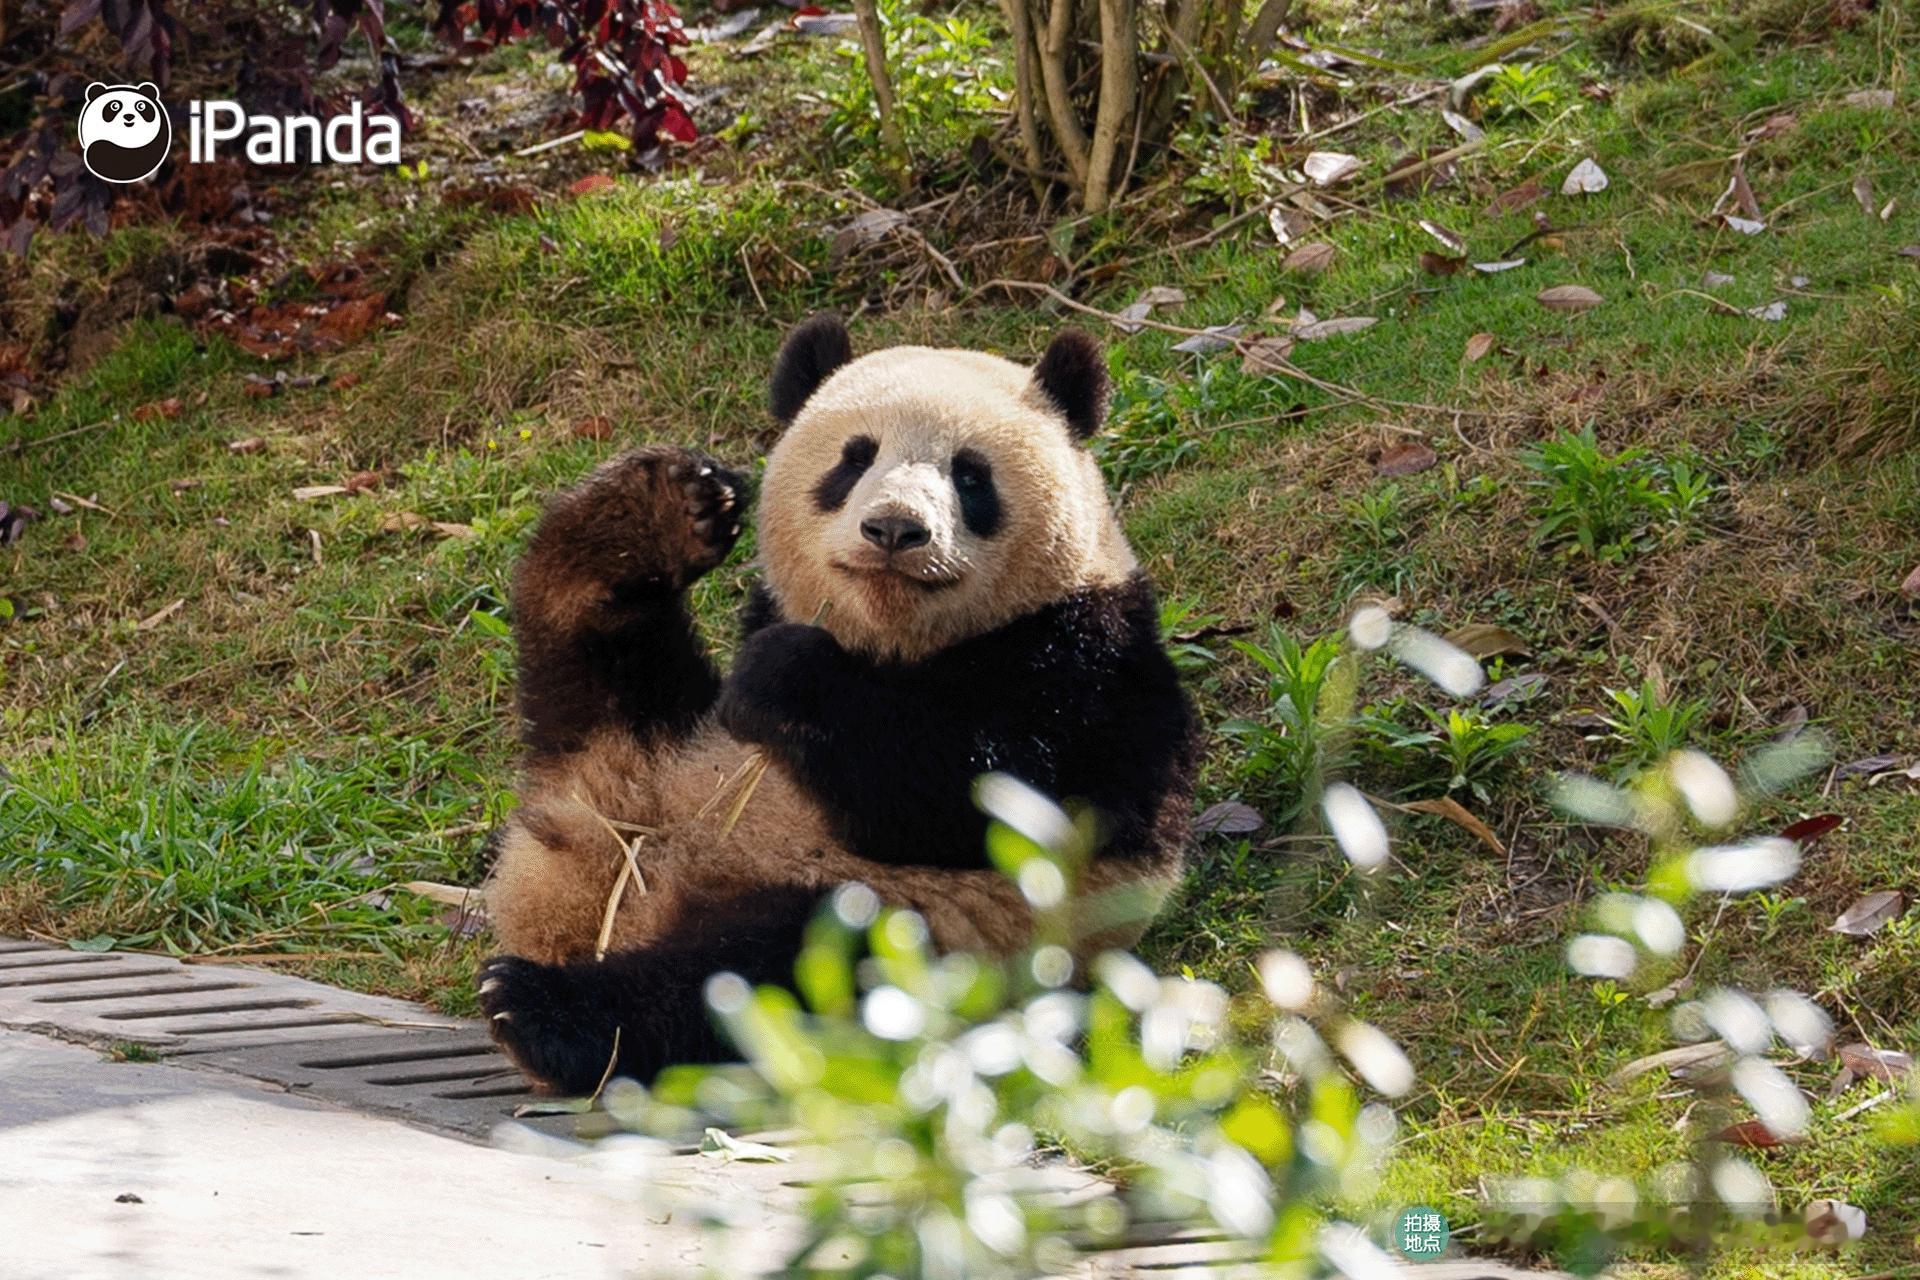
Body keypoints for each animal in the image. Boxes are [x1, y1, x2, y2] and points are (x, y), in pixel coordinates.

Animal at [477, 317, 1199, 1094]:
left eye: (970, 475)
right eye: (855, 460)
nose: (894, 530)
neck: (896, 642)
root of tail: (602, 905)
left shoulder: (1090, 668)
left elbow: (971, 787)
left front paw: (786, 677)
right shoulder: (763, 619)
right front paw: (675, 512)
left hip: (902, 931)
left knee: (748, 979)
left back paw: (541, 1009)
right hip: (651, 748)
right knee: (597, 655)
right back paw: (638, 519)